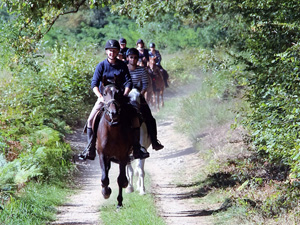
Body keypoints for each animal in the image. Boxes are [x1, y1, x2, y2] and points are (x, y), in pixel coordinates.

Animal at [95, 75, 135, 207]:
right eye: (104, 93)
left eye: (118, 93)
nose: (113, 113)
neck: (112, 129)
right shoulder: (102, 154)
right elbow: (104, 177)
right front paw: (106, 192)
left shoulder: (123, 156)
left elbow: (121, 179)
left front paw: (119, 202)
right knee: (106, 172)